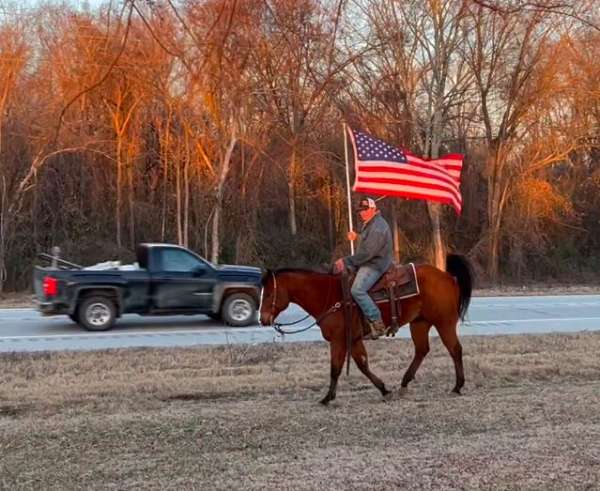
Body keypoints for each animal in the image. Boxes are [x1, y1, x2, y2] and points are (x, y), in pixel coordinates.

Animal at [262, 256, 474, 406]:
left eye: (270, 293)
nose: (262, 319)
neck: (329, 297)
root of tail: (449, 277)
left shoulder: (339, 340)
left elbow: (335, 368)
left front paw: (327, 397)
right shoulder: (354, 340)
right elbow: (362, 364)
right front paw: (384, 390)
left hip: (444, 323)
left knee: (455, 349)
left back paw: (457, 386)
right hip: (419, 323)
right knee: (422, 350)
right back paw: (404, 384)